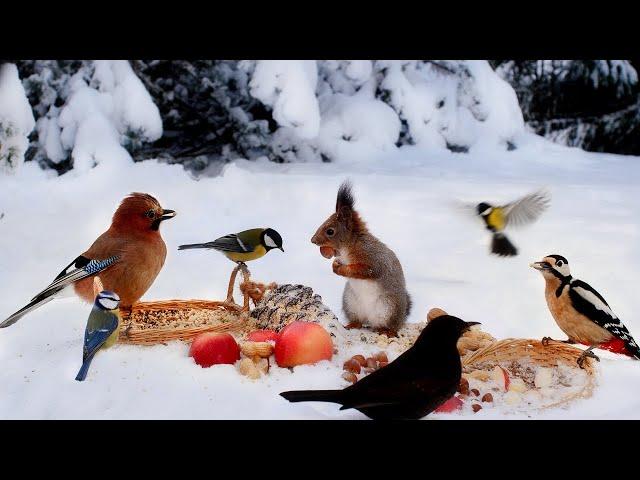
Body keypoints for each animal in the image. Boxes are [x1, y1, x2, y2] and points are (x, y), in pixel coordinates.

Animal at [312, 182, 412, 336]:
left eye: (330, 231)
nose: (313, 240)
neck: (348, 248)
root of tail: (371, 320)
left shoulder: (373, 261)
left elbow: (364, 271)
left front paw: (340, 268)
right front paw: (334, 265)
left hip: (390, 307)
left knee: (392, 325)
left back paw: (388, 332)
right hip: (350, 303)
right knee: (358, 321)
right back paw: (352, 325)